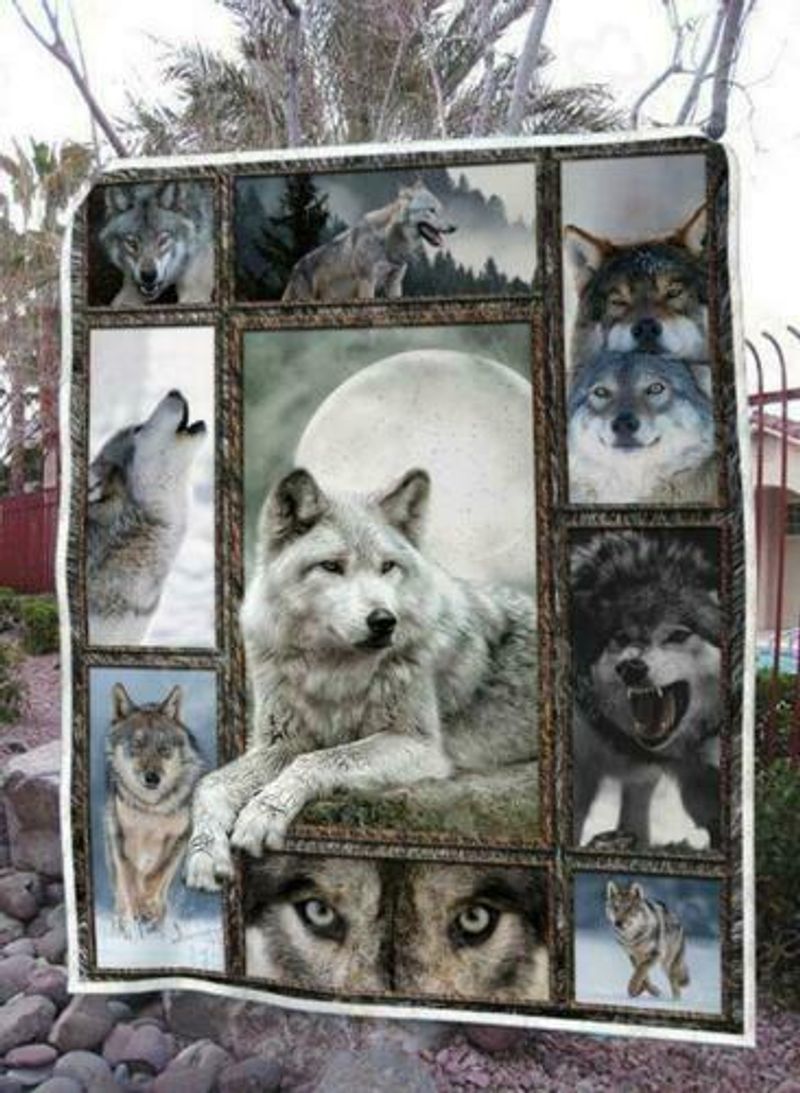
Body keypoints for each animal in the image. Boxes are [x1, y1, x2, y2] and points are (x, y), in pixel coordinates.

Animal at [104, 683, 205, 933]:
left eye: (163, 748)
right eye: (137, 745)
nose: (152, 778)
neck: (152, 809)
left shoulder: (179, 838)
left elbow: (157, 876)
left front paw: (148, 907)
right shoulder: (121, 837)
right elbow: (130, 879)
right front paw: (135, 912)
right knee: (122, 890)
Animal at [185, 467, 537, 891]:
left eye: (387, 566)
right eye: (332, 566)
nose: (384, 621)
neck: (333, 674)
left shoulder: (418, 745)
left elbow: (318, 760)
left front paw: (264, 812)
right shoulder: (280, 743)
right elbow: (210, 784)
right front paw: (204, 854)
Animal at [281, 178, 456, 302]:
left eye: (440, 210)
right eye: (431, 210)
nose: (454, 227)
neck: (389, 243)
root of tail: (294, 269)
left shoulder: (394, 284)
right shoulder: (367, 281)